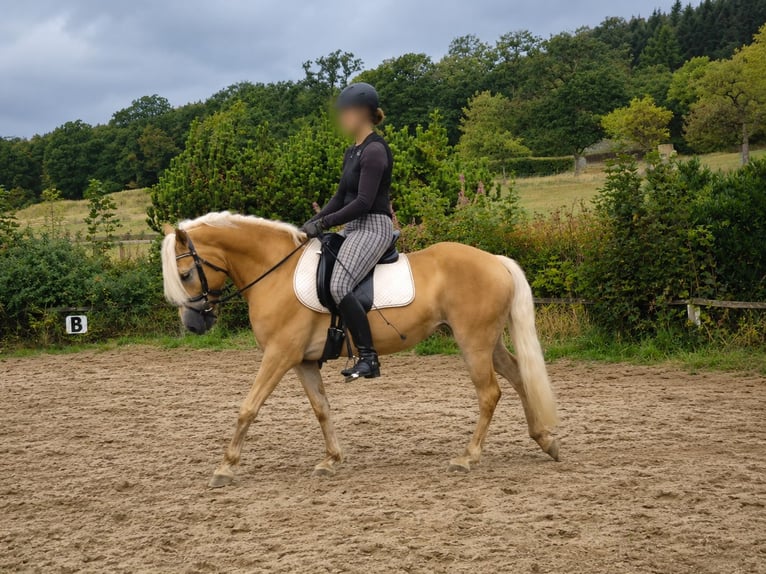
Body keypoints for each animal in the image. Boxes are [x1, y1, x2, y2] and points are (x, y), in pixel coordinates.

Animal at [160, 212, 560, 487]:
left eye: (185, 275)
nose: (193, 325)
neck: (275, 273)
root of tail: (496, 260)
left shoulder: (279, 355)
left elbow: (248, 408)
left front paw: (225, 467)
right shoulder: (302, 362)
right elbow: (321, 409)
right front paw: (331, 460)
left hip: (473, 342)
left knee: (490, 393)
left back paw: (468, 457)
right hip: (487, 342)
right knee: (518, 376)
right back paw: (544, 440)